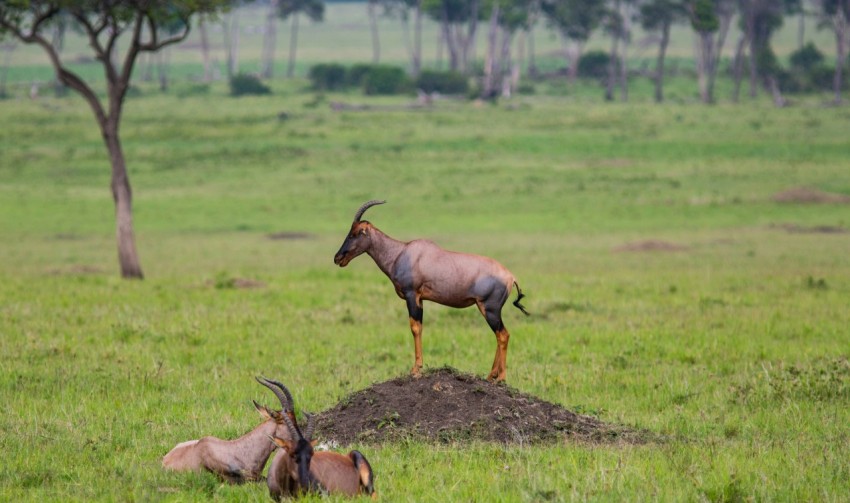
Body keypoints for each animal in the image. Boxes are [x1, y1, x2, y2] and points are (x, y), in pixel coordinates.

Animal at [332, 201, 528, 382]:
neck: (402, 252)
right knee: (500, 335)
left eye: (354, 233)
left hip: (490, 309)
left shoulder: (411, 295)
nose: (338, 258)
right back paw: (490, 375)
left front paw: (416, 369)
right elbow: (419, 327)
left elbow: (415, 328)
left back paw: (500, 378)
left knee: (503, 335)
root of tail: (510, 277)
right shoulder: (420, 299)